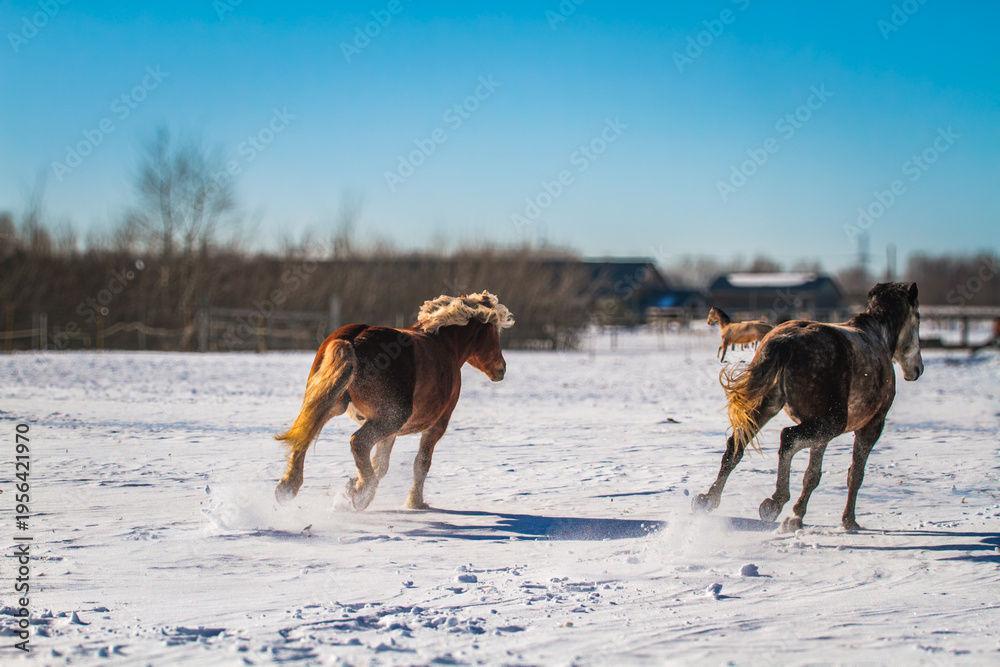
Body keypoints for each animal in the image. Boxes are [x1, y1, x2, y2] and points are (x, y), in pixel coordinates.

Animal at [274, 291, 513, 510]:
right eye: (495, 334)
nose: (501, 369)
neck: (446, 346)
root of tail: (354, 338)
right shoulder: (436, 425)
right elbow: (421, 463)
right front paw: (415, 502)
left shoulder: (389, 431)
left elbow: (381, 464)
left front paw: (352, 484)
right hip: (389, 417)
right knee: (357, 442)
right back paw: (362, 495)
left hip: (335, 404)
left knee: (305, 434)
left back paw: (288, 487)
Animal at [692, 283, 923, 532]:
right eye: (918, 318)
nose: (917, 369)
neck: (879, 336)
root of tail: (786, 340)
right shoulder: (871, 425)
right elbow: (855, 474)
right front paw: (849, 521)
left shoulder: (821, 434)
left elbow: (812, 475)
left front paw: (797, 516)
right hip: (831, 422)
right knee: (787, 438)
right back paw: (774, 503)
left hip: (772, 408)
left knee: (736, 445)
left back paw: (708, 500)